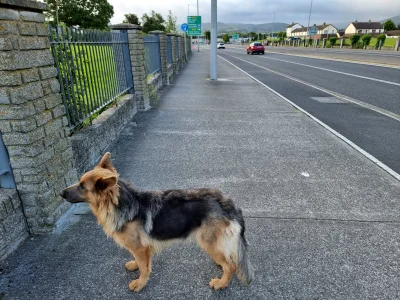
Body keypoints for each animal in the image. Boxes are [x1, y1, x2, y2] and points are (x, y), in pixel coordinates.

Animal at [59, 152, 253, 290]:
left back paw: (221, 283)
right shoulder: (143, 248)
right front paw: (135, 265)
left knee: (231, 266)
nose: (61, 193)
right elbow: (142, 263)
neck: (122, 203)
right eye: (79, 182)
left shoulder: (140, 248)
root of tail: (228, 203)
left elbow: (145, 268)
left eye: (82, 187)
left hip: (208, 242)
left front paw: (140, 283)